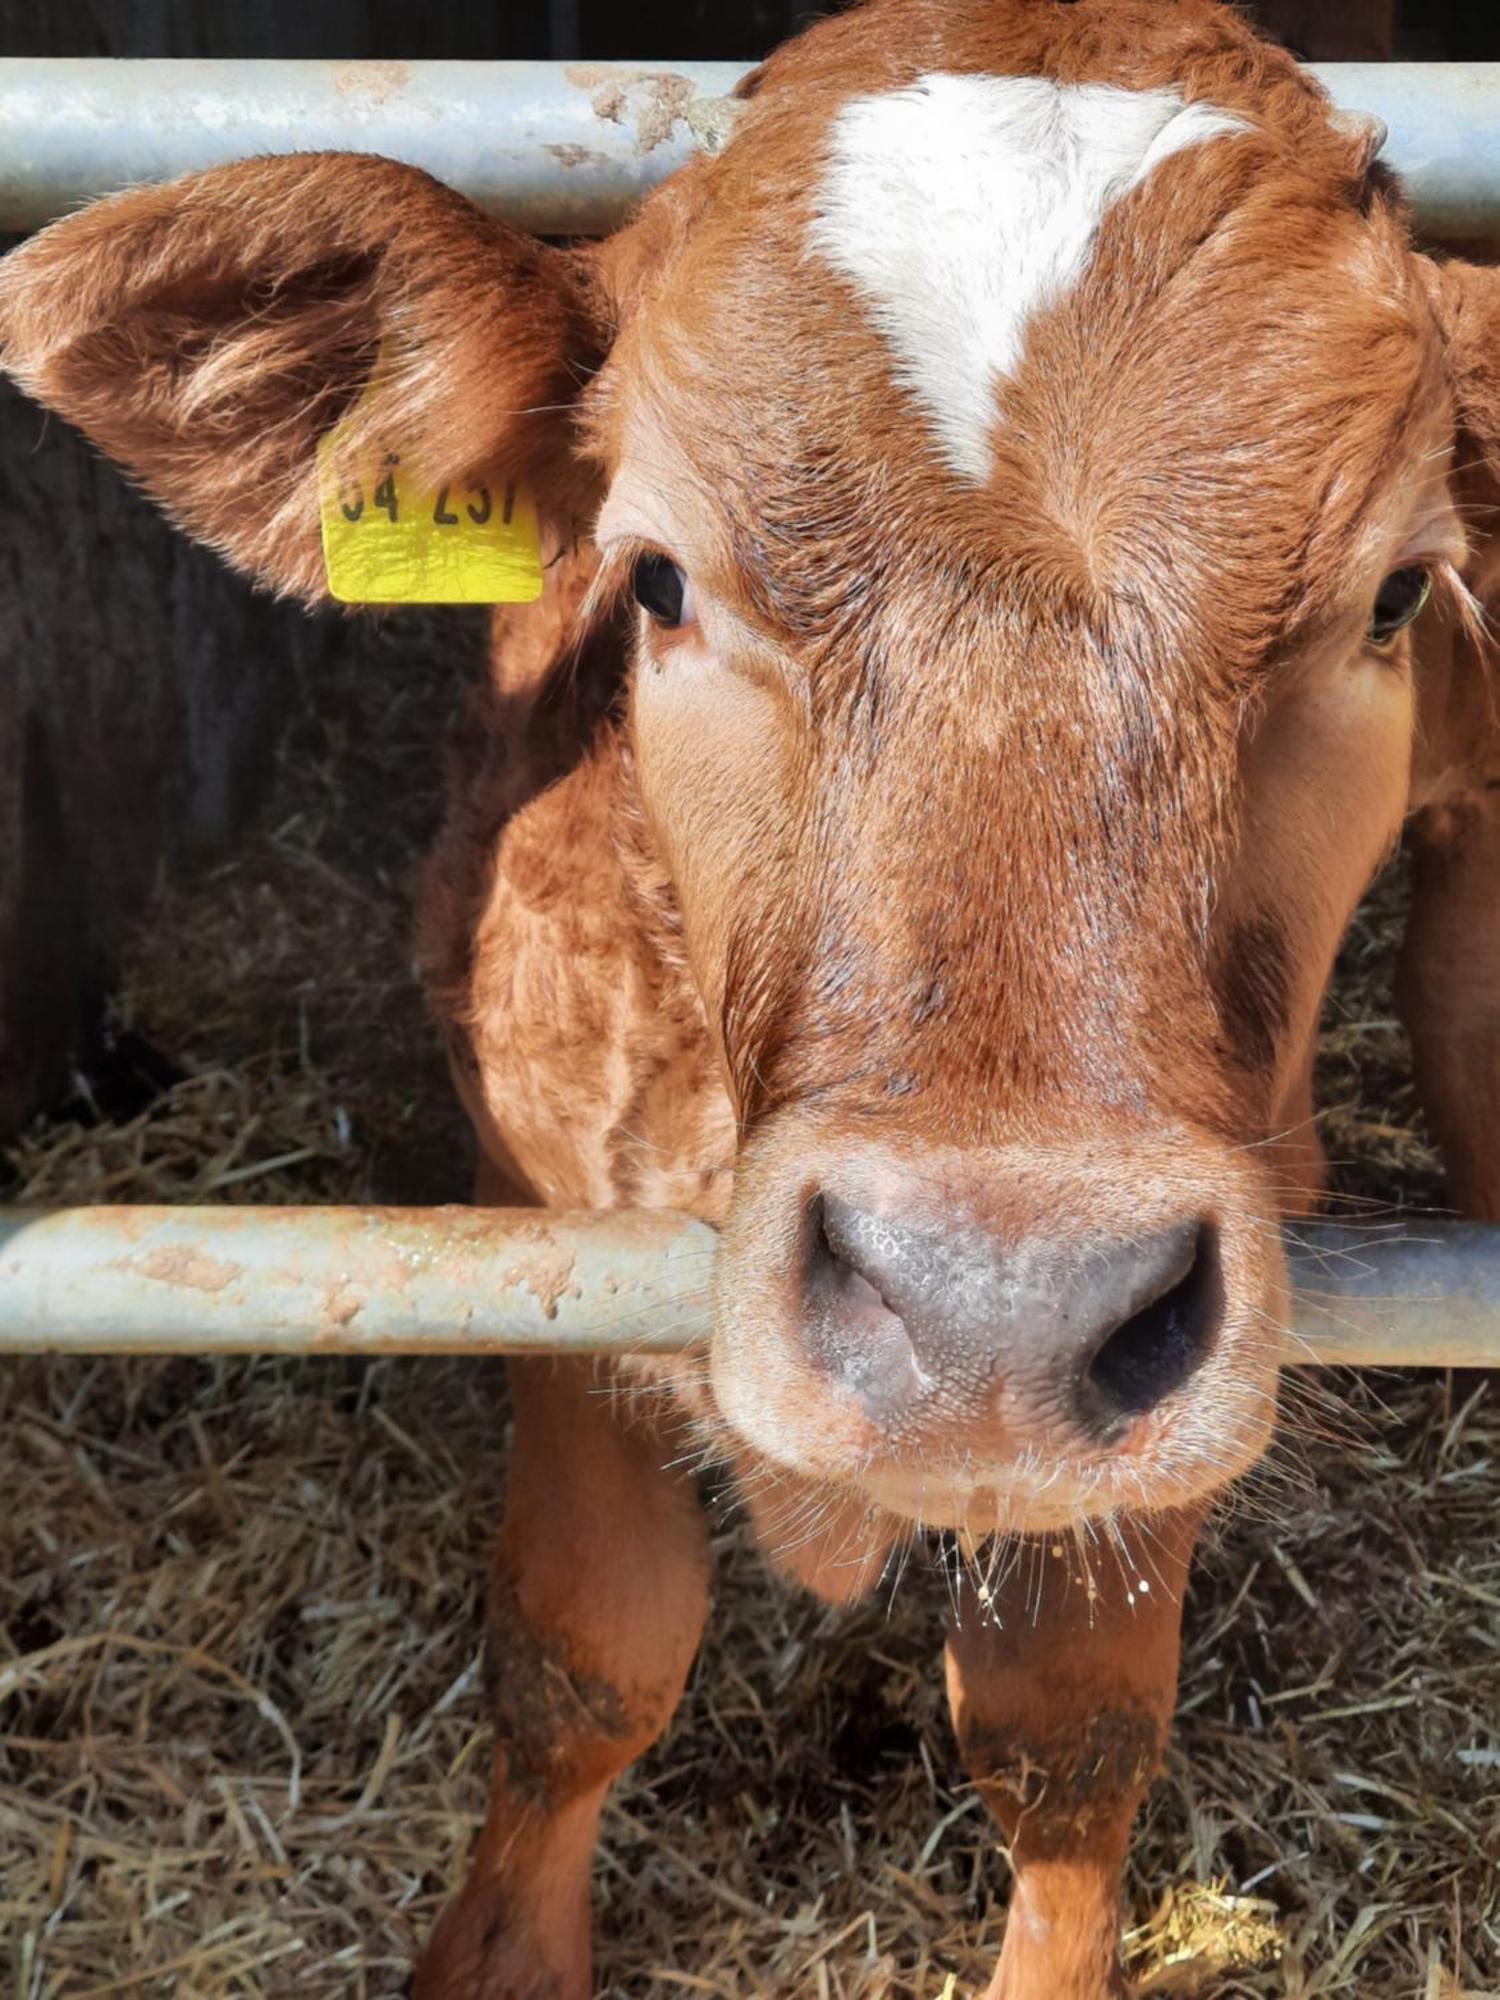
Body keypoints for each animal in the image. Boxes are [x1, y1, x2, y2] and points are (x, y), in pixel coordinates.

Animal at [2, 7, 1500, 1992]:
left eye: (1397, 593)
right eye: (654, 577)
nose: (995, 1313)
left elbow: (1073, 1730)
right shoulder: (542, 1208)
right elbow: (586, 1647)